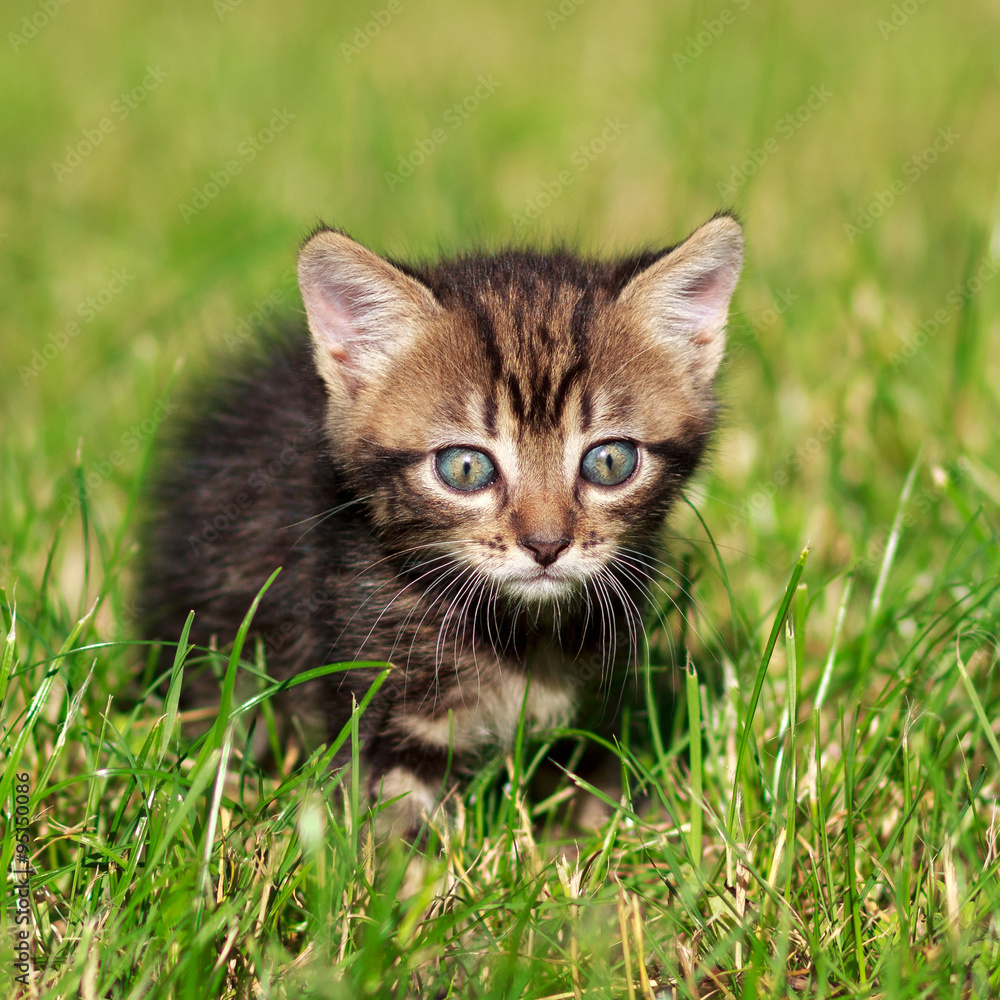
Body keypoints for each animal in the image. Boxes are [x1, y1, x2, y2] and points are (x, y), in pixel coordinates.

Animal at [145, 215, 748, 840]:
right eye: (465, 467)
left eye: (610, 461)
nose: (546, 545)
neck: (521, 634)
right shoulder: (384, 701)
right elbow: (386, 824)